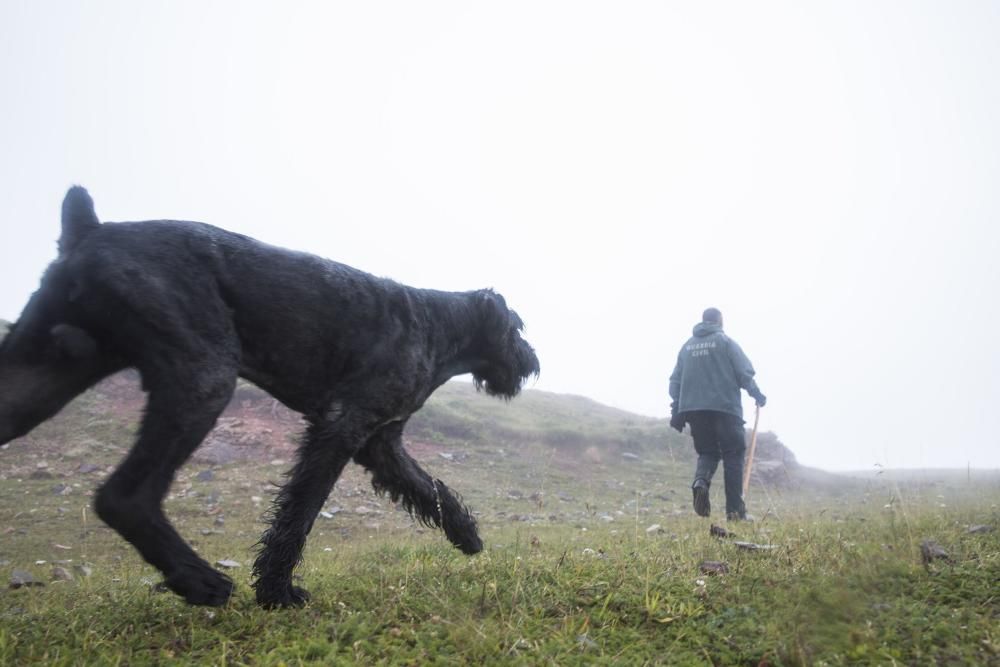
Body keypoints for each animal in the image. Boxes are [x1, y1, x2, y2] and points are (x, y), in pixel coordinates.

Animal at [1, 188, 540, 612]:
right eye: (516, 328)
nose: (532, 361)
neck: (440, 326)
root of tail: (89, 232)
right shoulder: (342, 425)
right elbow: (300, 513)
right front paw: (277, 592)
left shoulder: (381, 444)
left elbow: (432, 489)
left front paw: (467, 535)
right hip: (205, 375)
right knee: (124, 496)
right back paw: (200, 581)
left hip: (39, 381)